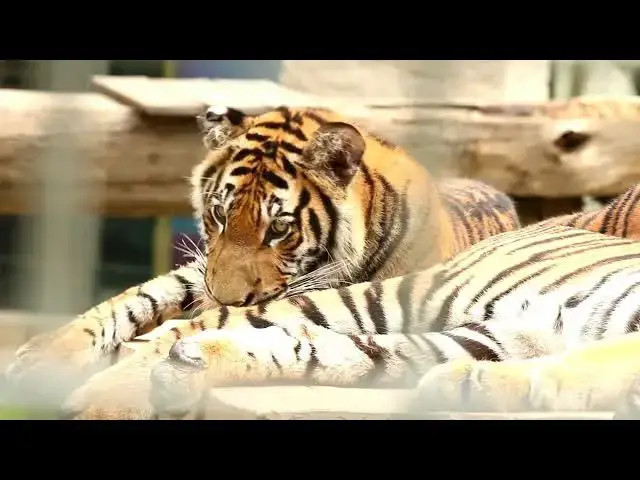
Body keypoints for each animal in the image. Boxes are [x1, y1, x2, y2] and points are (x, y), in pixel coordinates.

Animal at [5, 105, 521, 414]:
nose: (222, 297)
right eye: (219, 213)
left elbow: (192, 332)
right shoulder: (203, 270)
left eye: (279, 228)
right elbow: (138, 297)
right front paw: (44, 356)